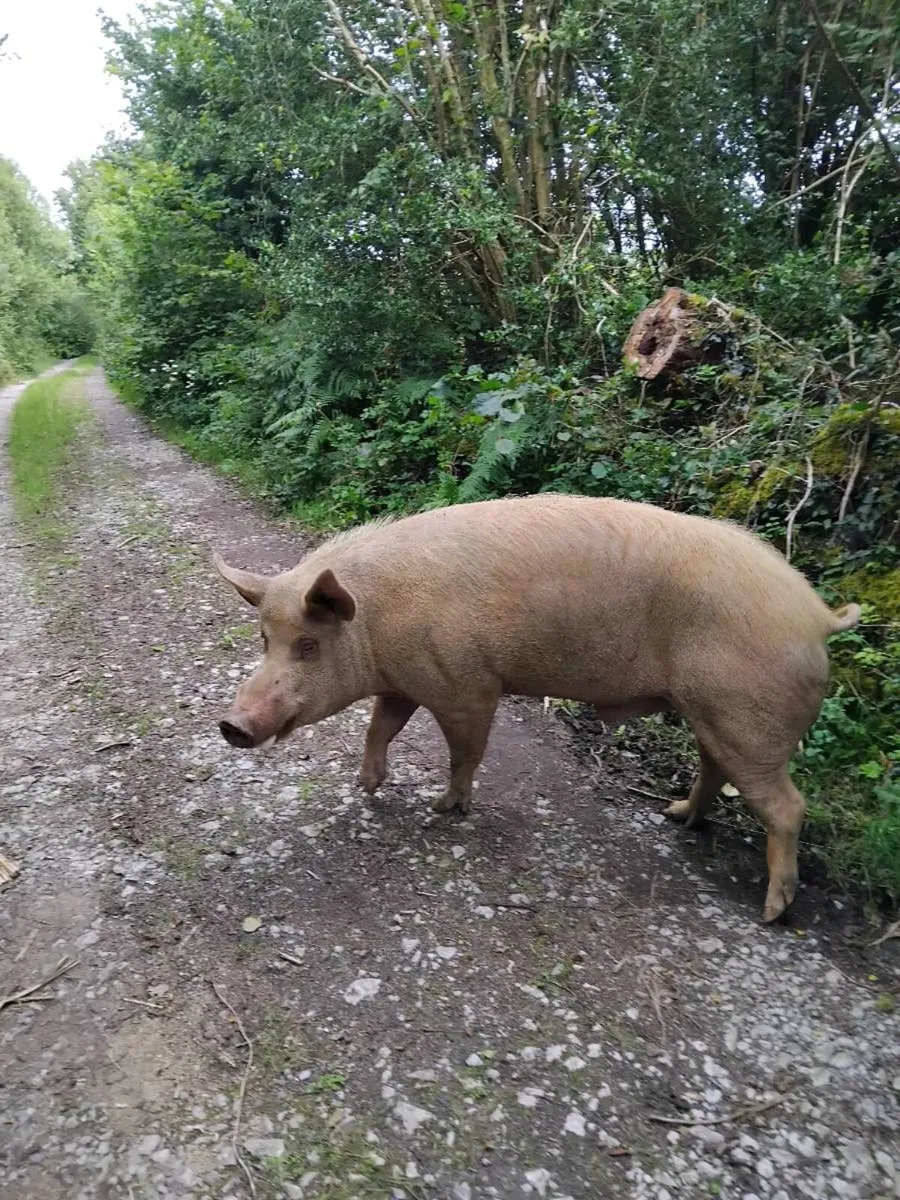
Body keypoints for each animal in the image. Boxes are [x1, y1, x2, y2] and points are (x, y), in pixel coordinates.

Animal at [214, 494, 860, 923]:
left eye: (308, 645)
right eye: (265, 639)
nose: (231, 723)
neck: (376, 619)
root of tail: (818, 618)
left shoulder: (466, 684)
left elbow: (465, 749)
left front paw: (444, 807)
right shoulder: (402, 681)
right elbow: (382, 726)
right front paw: (368, 786)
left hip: (749, 720)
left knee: (787, 806)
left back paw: (772, 912)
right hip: (712, 713)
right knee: (715, 769)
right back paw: (676, 815)